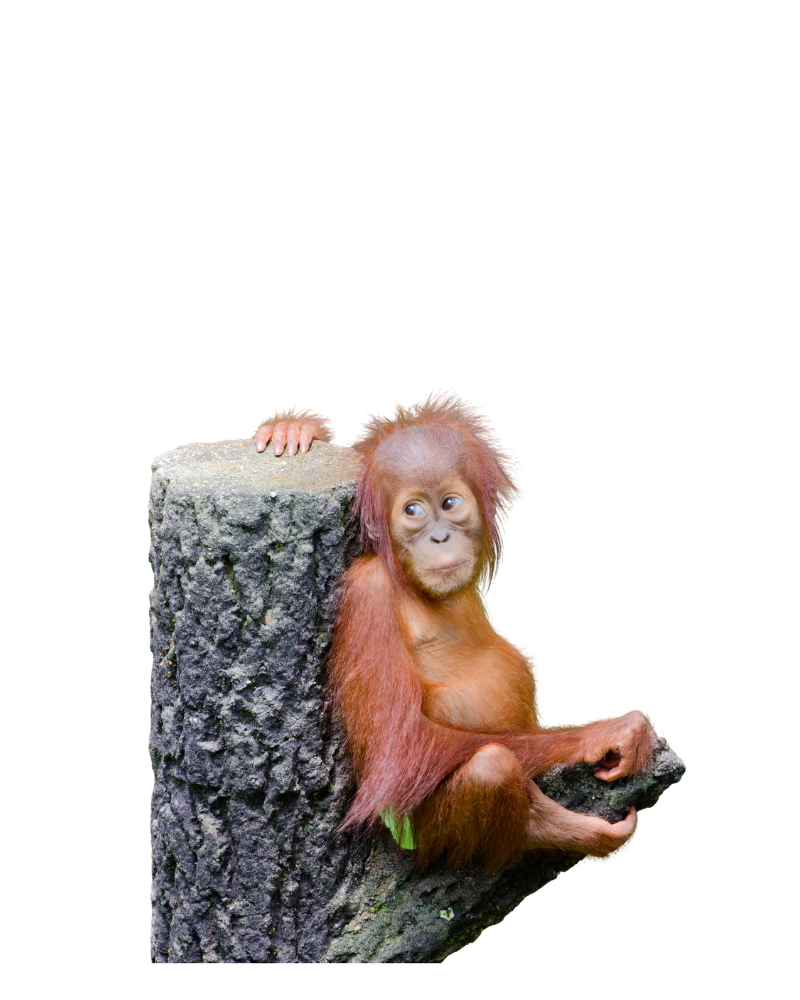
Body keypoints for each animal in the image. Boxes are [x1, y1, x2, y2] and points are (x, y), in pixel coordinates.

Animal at [254, 395, 655, 871]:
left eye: (449, 503)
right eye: (413, 511)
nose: (440, 537)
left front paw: (292, 429)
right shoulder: (369, 595)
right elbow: (401, 743)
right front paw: (611, 731)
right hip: (423, 837)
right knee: (492, 765)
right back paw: (548, 826)